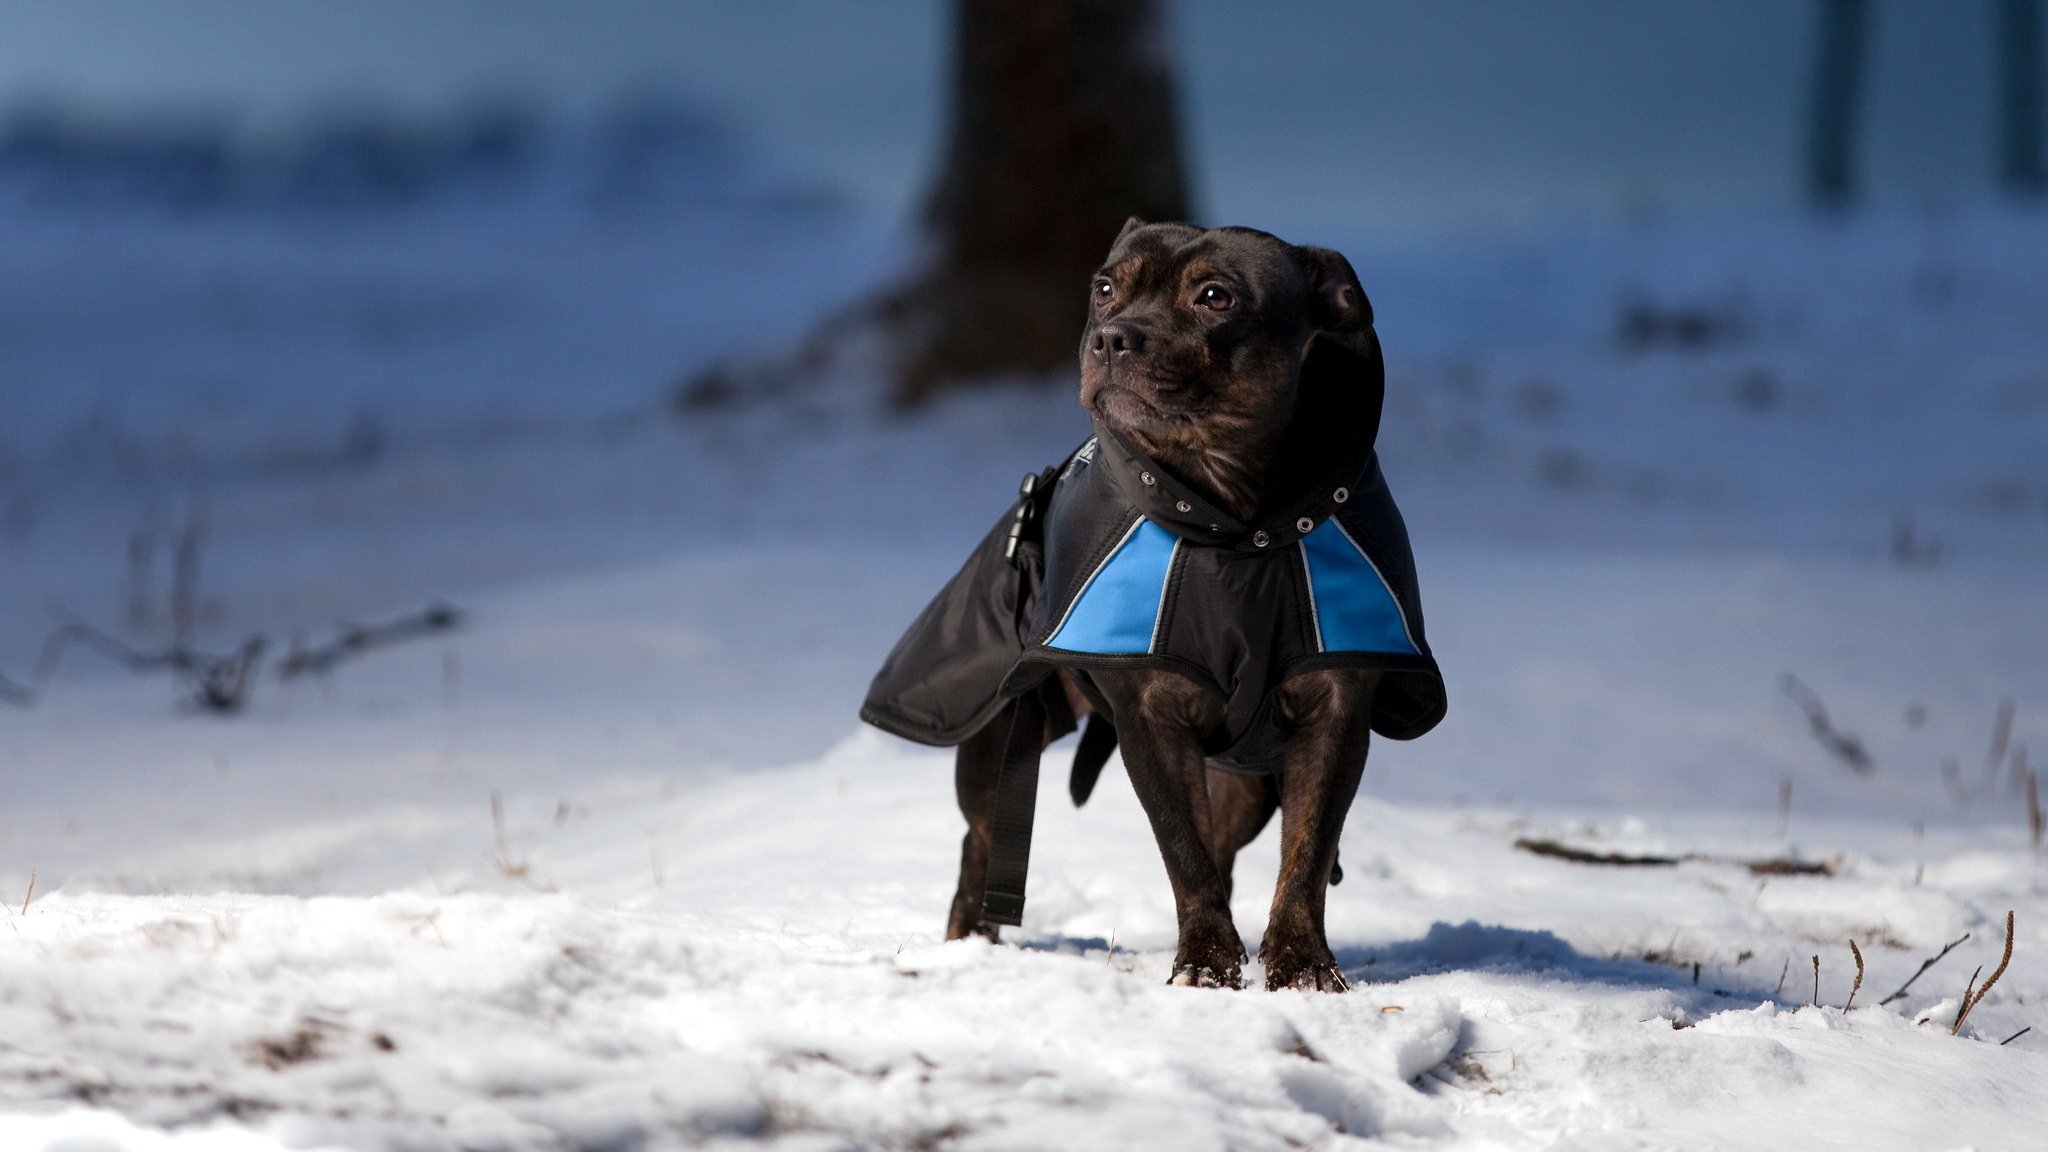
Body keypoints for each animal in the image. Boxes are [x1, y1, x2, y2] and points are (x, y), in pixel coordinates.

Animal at [856, 217, 1449, 988]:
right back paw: (970, 948)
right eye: (1105, 288)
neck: (1239, 523)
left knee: (1227, 846)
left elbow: (1308, 853)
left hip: (1243, 783)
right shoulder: (1151, 717)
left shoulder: (1334, 712)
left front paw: (1299, 963)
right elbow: (1182, 850)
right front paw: (1205, 965)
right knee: (980, 847)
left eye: (1215, 296)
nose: (1113, 337)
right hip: (994, 744)